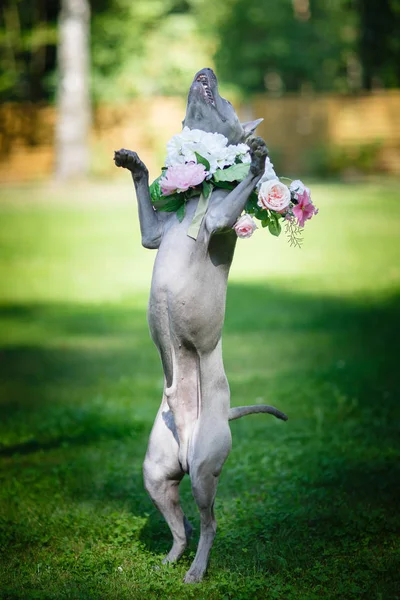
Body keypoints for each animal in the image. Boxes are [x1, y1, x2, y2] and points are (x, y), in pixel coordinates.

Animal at [114, 68, 286, 584]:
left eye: (224, 97)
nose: (205, 70)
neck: (195, 199)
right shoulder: (153, 234)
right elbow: (147, 208)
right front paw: (135, 164)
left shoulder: (222, 218)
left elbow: (242, 187)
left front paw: (256, 162)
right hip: (157, 472)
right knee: (181, 527)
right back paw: (171, 559)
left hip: (206, 469)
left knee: (210, 524)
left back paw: (197, 570)